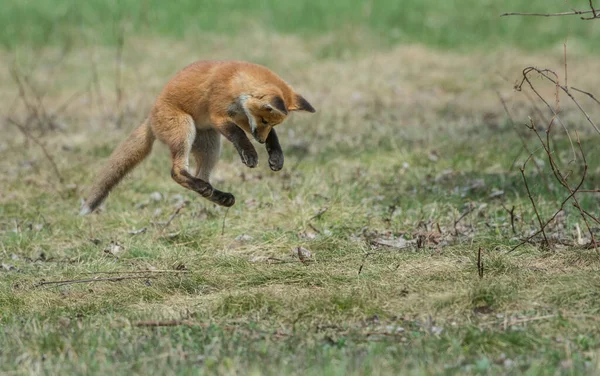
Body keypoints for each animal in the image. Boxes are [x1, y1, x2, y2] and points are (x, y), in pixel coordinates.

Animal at [77, 60, 316, 216]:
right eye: (265, 120)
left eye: (271, 123)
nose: (259, 141)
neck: (235, 81)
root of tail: (150, 119)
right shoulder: (219, 115)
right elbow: (238, 134)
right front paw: (250, 154)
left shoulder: (243, 116)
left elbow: (270, 137)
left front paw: (276, 156)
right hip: (185, 130)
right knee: (176, 171)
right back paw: (201, 185)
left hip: (211, 145)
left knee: (202, 177)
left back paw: (217, 195)